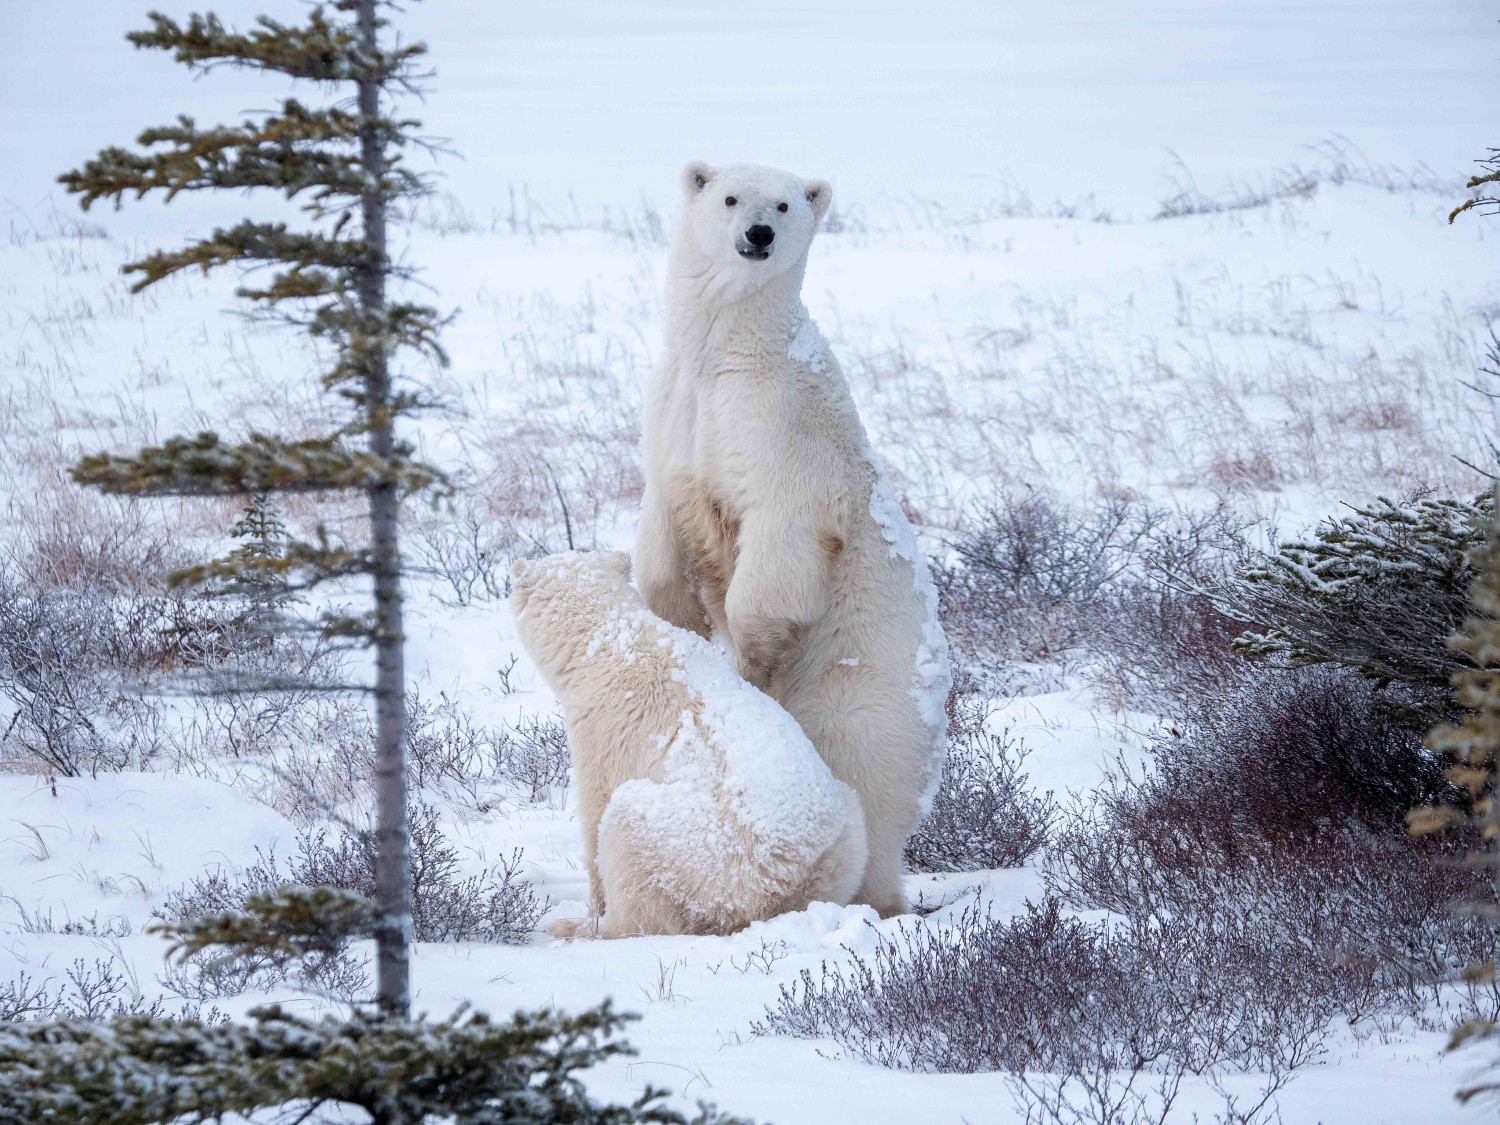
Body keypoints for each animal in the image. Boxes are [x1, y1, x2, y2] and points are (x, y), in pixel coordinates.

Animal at [509, 550, 868, 938]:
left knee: (628, 835)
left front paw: (592, 909)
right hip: (842, 840)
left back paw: (578, 927)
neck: (610, 640)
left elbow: (595, 814)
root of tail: (780, 884)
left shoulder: (601, 730)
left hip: (698, 858)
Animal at [633, 161, 952, 917]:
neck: (726, 353)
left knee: (862, 772)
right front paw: (680, 623)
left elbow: (776, 554)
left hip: (864, 695)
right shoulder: (678, 410)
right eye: (729, 196)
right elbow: (663, 520)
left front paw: (751, 660)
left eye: (782, 204)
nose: (758, 234)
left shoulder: (782, 429)